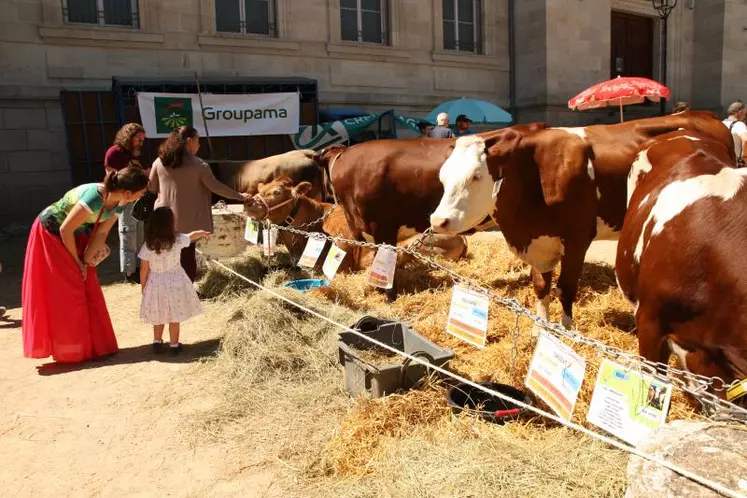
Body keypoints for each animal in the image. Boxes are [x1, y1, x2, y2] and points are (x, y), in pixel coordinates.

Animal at [430, 111, 732, 332]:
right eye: (443, 176)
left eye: (475, 176)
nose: (438, 220)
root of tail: (699, 114)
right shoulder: (540, 241)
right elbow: (541, 286)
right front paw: (540, 328)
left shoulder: (577, 238)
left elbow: (565, 287)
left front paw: (566, 329)